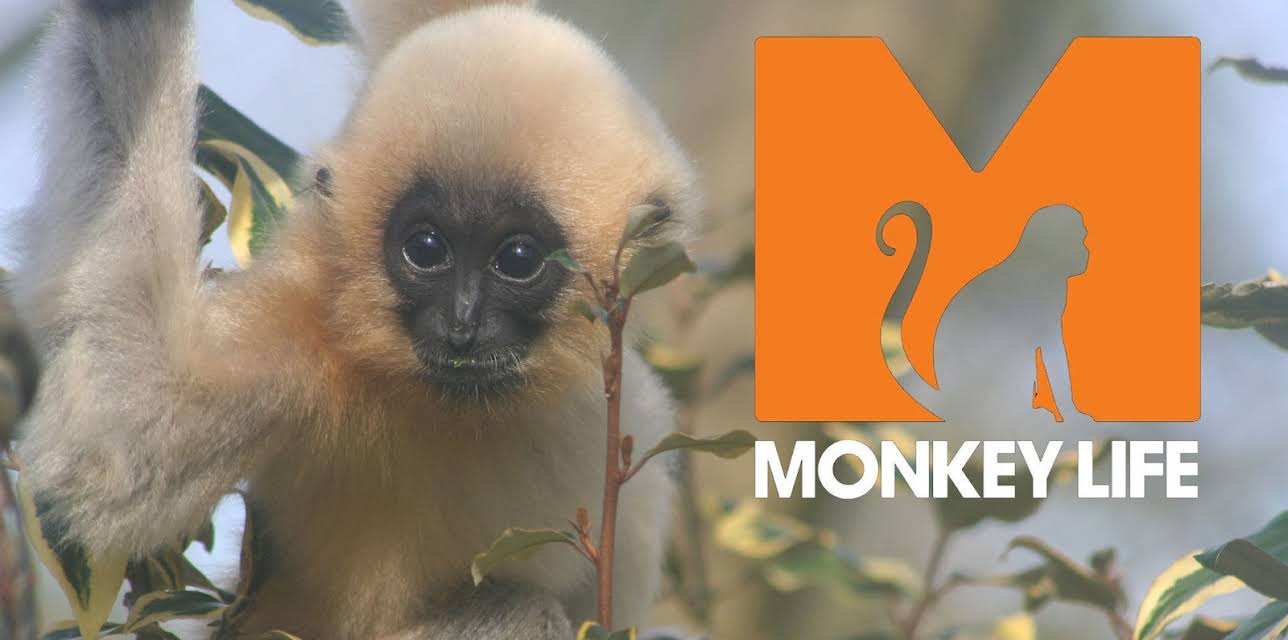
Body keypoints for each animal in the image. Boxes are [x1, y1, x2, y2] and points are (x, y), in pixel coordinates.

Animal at [7, 0, 701, 637]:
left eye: (519, 260)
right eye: (426, 249)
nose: (462, 322)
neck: (456, 403)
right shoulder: (306, 328)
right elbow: (117, 446)